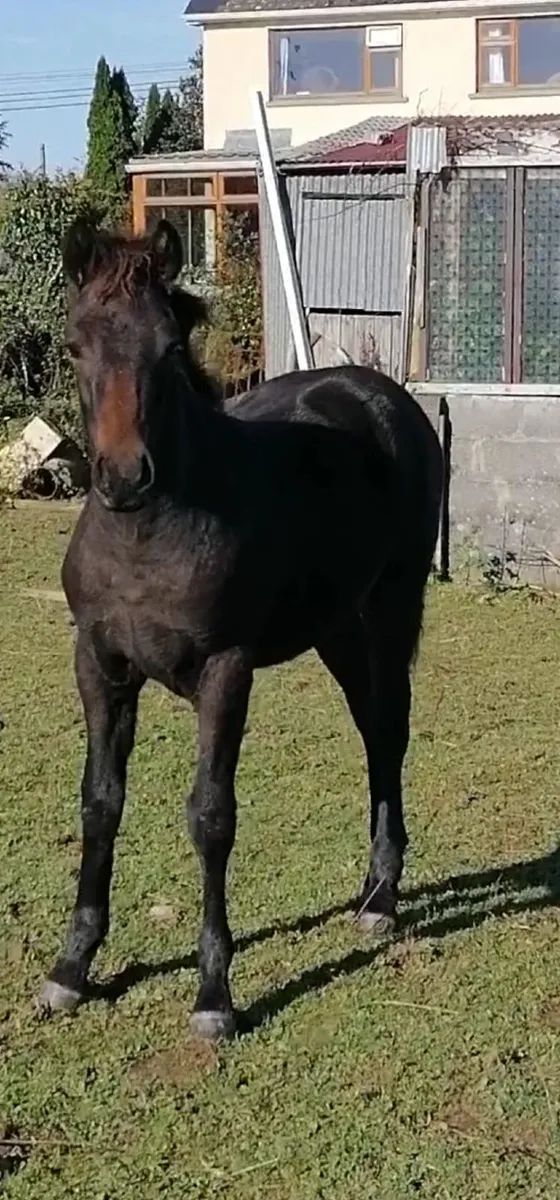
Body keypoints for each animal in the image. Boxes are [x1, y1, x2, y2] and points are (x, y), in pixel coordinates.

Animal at [38, 218, 443, 1039]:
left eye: (169, 346)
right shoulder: (97, 665)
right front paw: (71, 968)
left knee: (390, 732)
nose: (123, 477)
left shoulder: (226, 671)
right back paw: (371, 890)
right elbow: (100, 801)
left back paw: (383, 898)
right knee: (371, 731)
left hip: (390, 607)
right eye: (73, 344)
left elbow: (211, 815)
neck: (148, 537)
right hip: (335, 627)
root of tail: (382, 393)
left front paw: (214, 995)